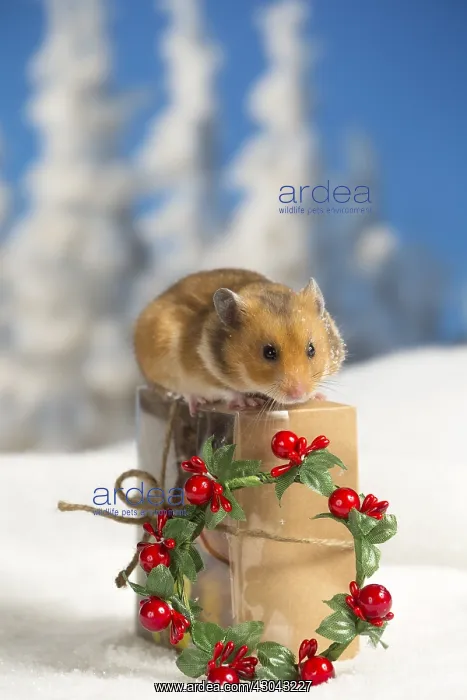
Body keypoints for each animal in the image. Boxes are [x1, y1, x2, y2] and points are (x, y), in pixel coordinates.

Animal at [134, 268, 345, 416]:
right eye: (268, 352)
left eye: (311, 349)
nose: (298, 396)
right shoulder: (200, 372)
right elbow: (224, 389)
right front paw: (249, 402)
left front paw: (319, 397)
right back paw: (196, 402)